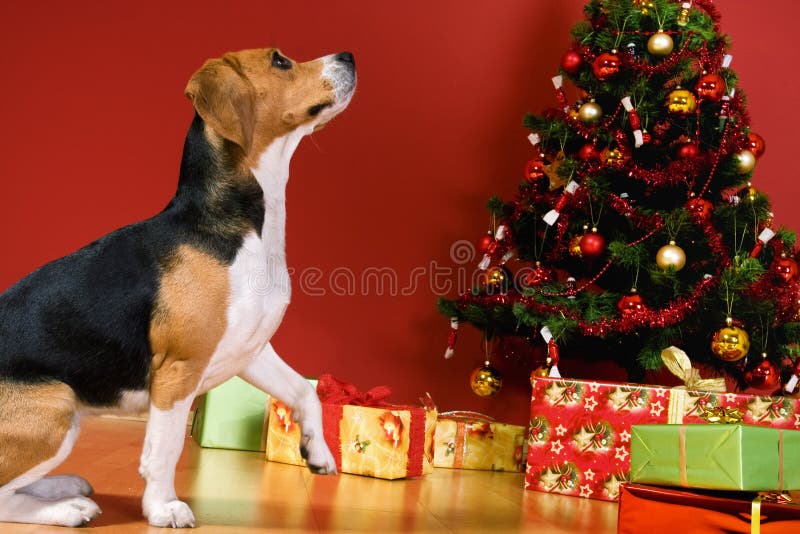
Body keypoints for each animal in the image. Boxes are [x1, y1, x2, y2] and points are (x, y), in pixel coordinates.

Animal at [0, 48, 356, 528]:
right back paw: (66, 508)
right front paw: (163, 507)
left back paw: (63, 486)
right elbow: (164, 450)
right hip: (57, 403)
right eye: (280, 61)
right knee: (4, 495)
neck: (242, 226)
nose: (348, 56)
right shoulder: (180, 369)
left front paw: (316, 450)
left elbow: (305, 390)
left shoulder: (250, 350)